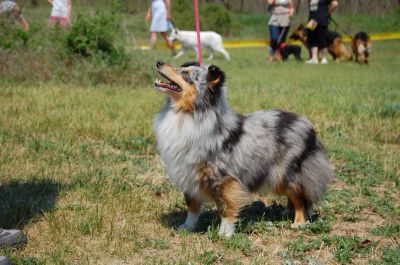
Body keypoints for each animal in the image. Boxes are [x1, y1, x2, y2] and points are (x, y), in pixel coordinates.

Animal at [152, 60, 332, 237]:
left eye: (185, 73)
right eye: (183, 68)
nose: (159, 62)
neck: (188, 114)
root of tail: (308, 125)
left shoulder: (224, 180)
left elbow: (226, 208)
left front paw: (224, 234)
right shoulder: (188, 175)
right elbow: (192, 206)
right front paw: (188, 227)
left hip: (287, 173)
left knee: (300, 198)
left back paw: (299, 223)